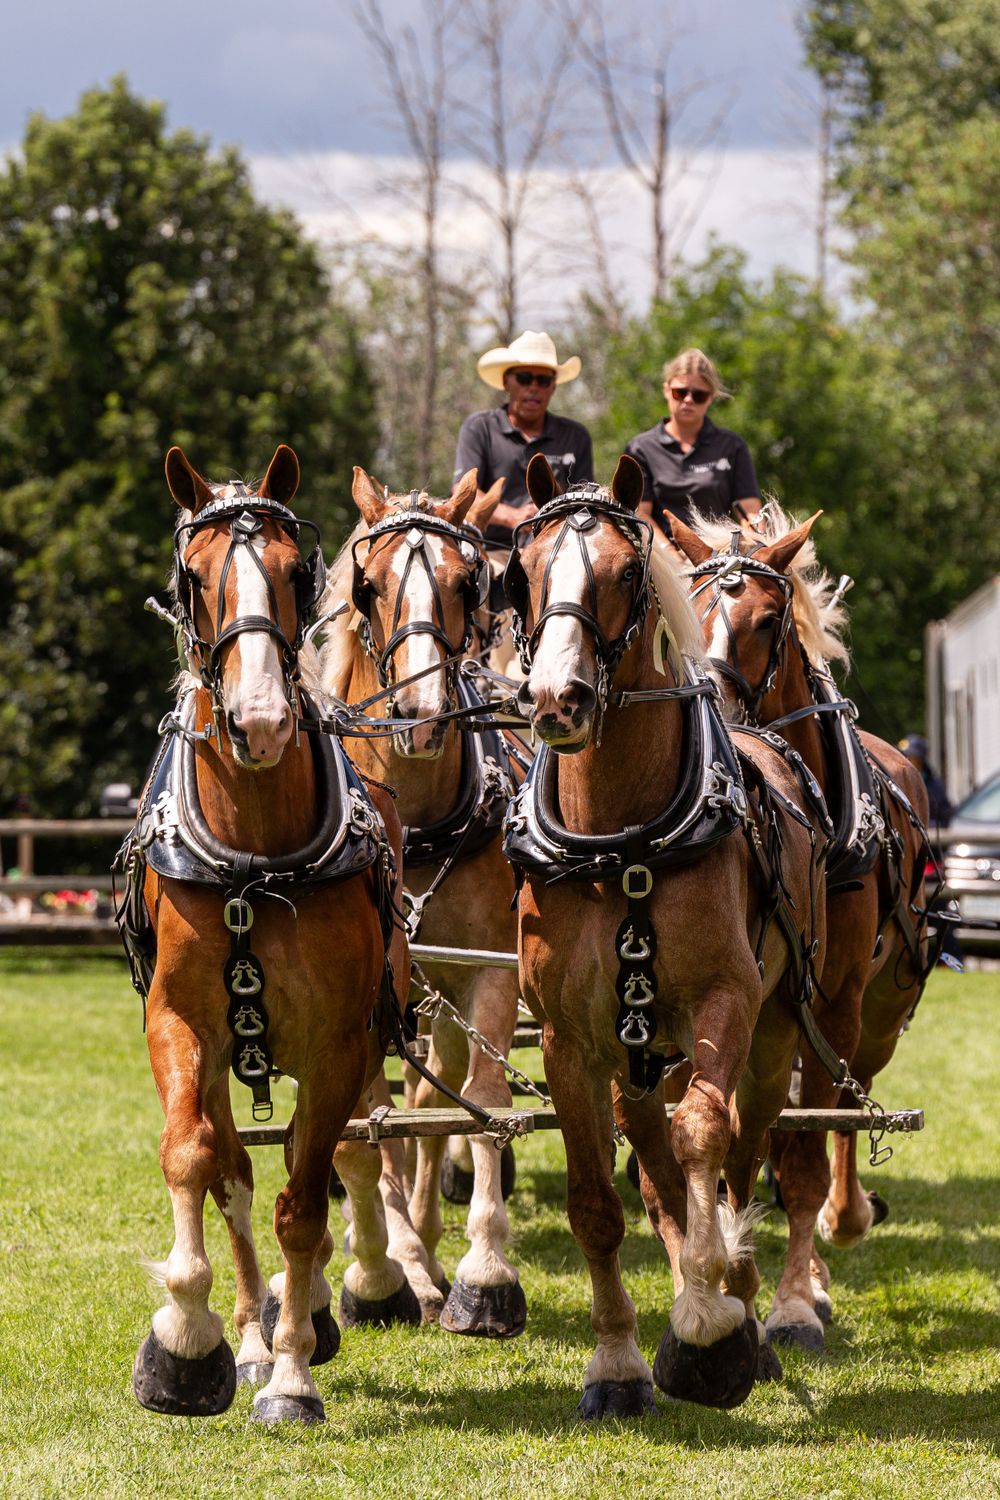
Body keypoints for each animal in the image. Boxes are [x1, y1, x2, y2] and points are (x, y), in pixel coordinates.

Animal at [118, 445, 420, 1427]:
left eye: (296, 574)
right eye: (196, 577)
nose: (258, 721)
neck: (253, 856)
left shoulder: (338, 1044)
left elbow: (307, 1200)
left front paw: (292, 1374)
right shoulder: (179, 1024)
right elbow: (196, 1162)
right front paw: (190, 1339)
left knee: (334, 1161)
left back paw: (319, 1306)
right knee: (235, 1175)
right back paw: (252, 1330)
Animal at [503, 454, 830, 1417]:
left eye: (625, 575)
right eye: (522, 572)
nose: (557, 699)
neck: (621, 840)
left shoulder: (727, 998)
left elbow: (706, 1140)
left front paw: (712, 1316)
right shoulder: (570, 1040)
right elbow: (597, 1203)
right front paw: (617, 1363)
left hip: (772, 1029)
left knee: (741, 1145)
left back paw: (741, 1307)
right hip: (636, 1054)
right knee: (652, 1160)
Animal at [668, 503, 932, 1349]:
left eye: (767, 617)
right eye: (687, 610)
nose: (716, 706)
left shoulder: (834, 1000)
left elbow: (810, 1147)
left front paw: (791, 1302)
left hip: (876, 1012)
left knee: (845, 1108)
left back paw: (836, 1232)